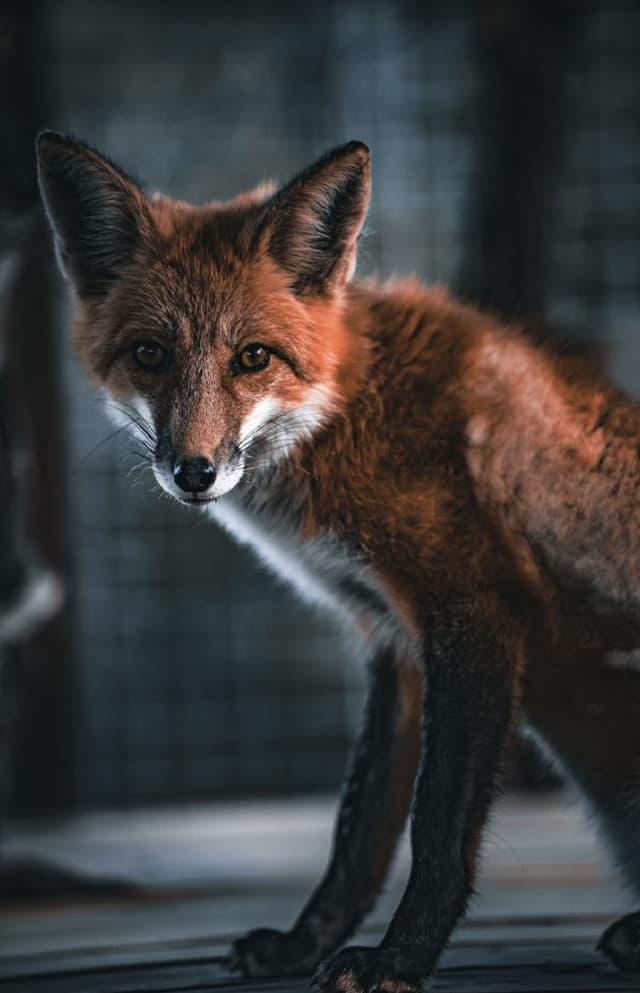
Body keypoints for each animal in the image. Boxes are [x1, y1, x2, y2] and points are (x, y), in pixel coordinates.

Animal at [36, 131, 640, 990]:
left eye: (253, 357)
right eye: (149, 354)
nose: (194, 471)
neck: (351, 407)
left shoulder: (473, 613)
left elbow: (435, 824)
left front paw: (400, 957)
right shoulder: (394, 640)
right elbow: (357, 832)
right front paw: (304, 945)